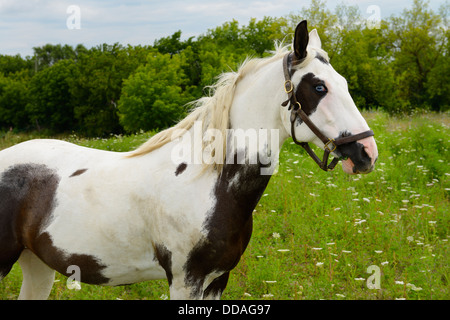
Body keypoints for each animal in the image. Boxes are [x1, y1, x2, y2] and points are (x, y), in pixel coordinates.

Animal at [0, 20, 376, 300]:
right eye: (318, 88)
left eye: (343, 82)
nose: (366, 153)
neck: (204, 182)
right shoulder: (185, 281)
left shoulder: (217, 280)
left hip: (37, 266)